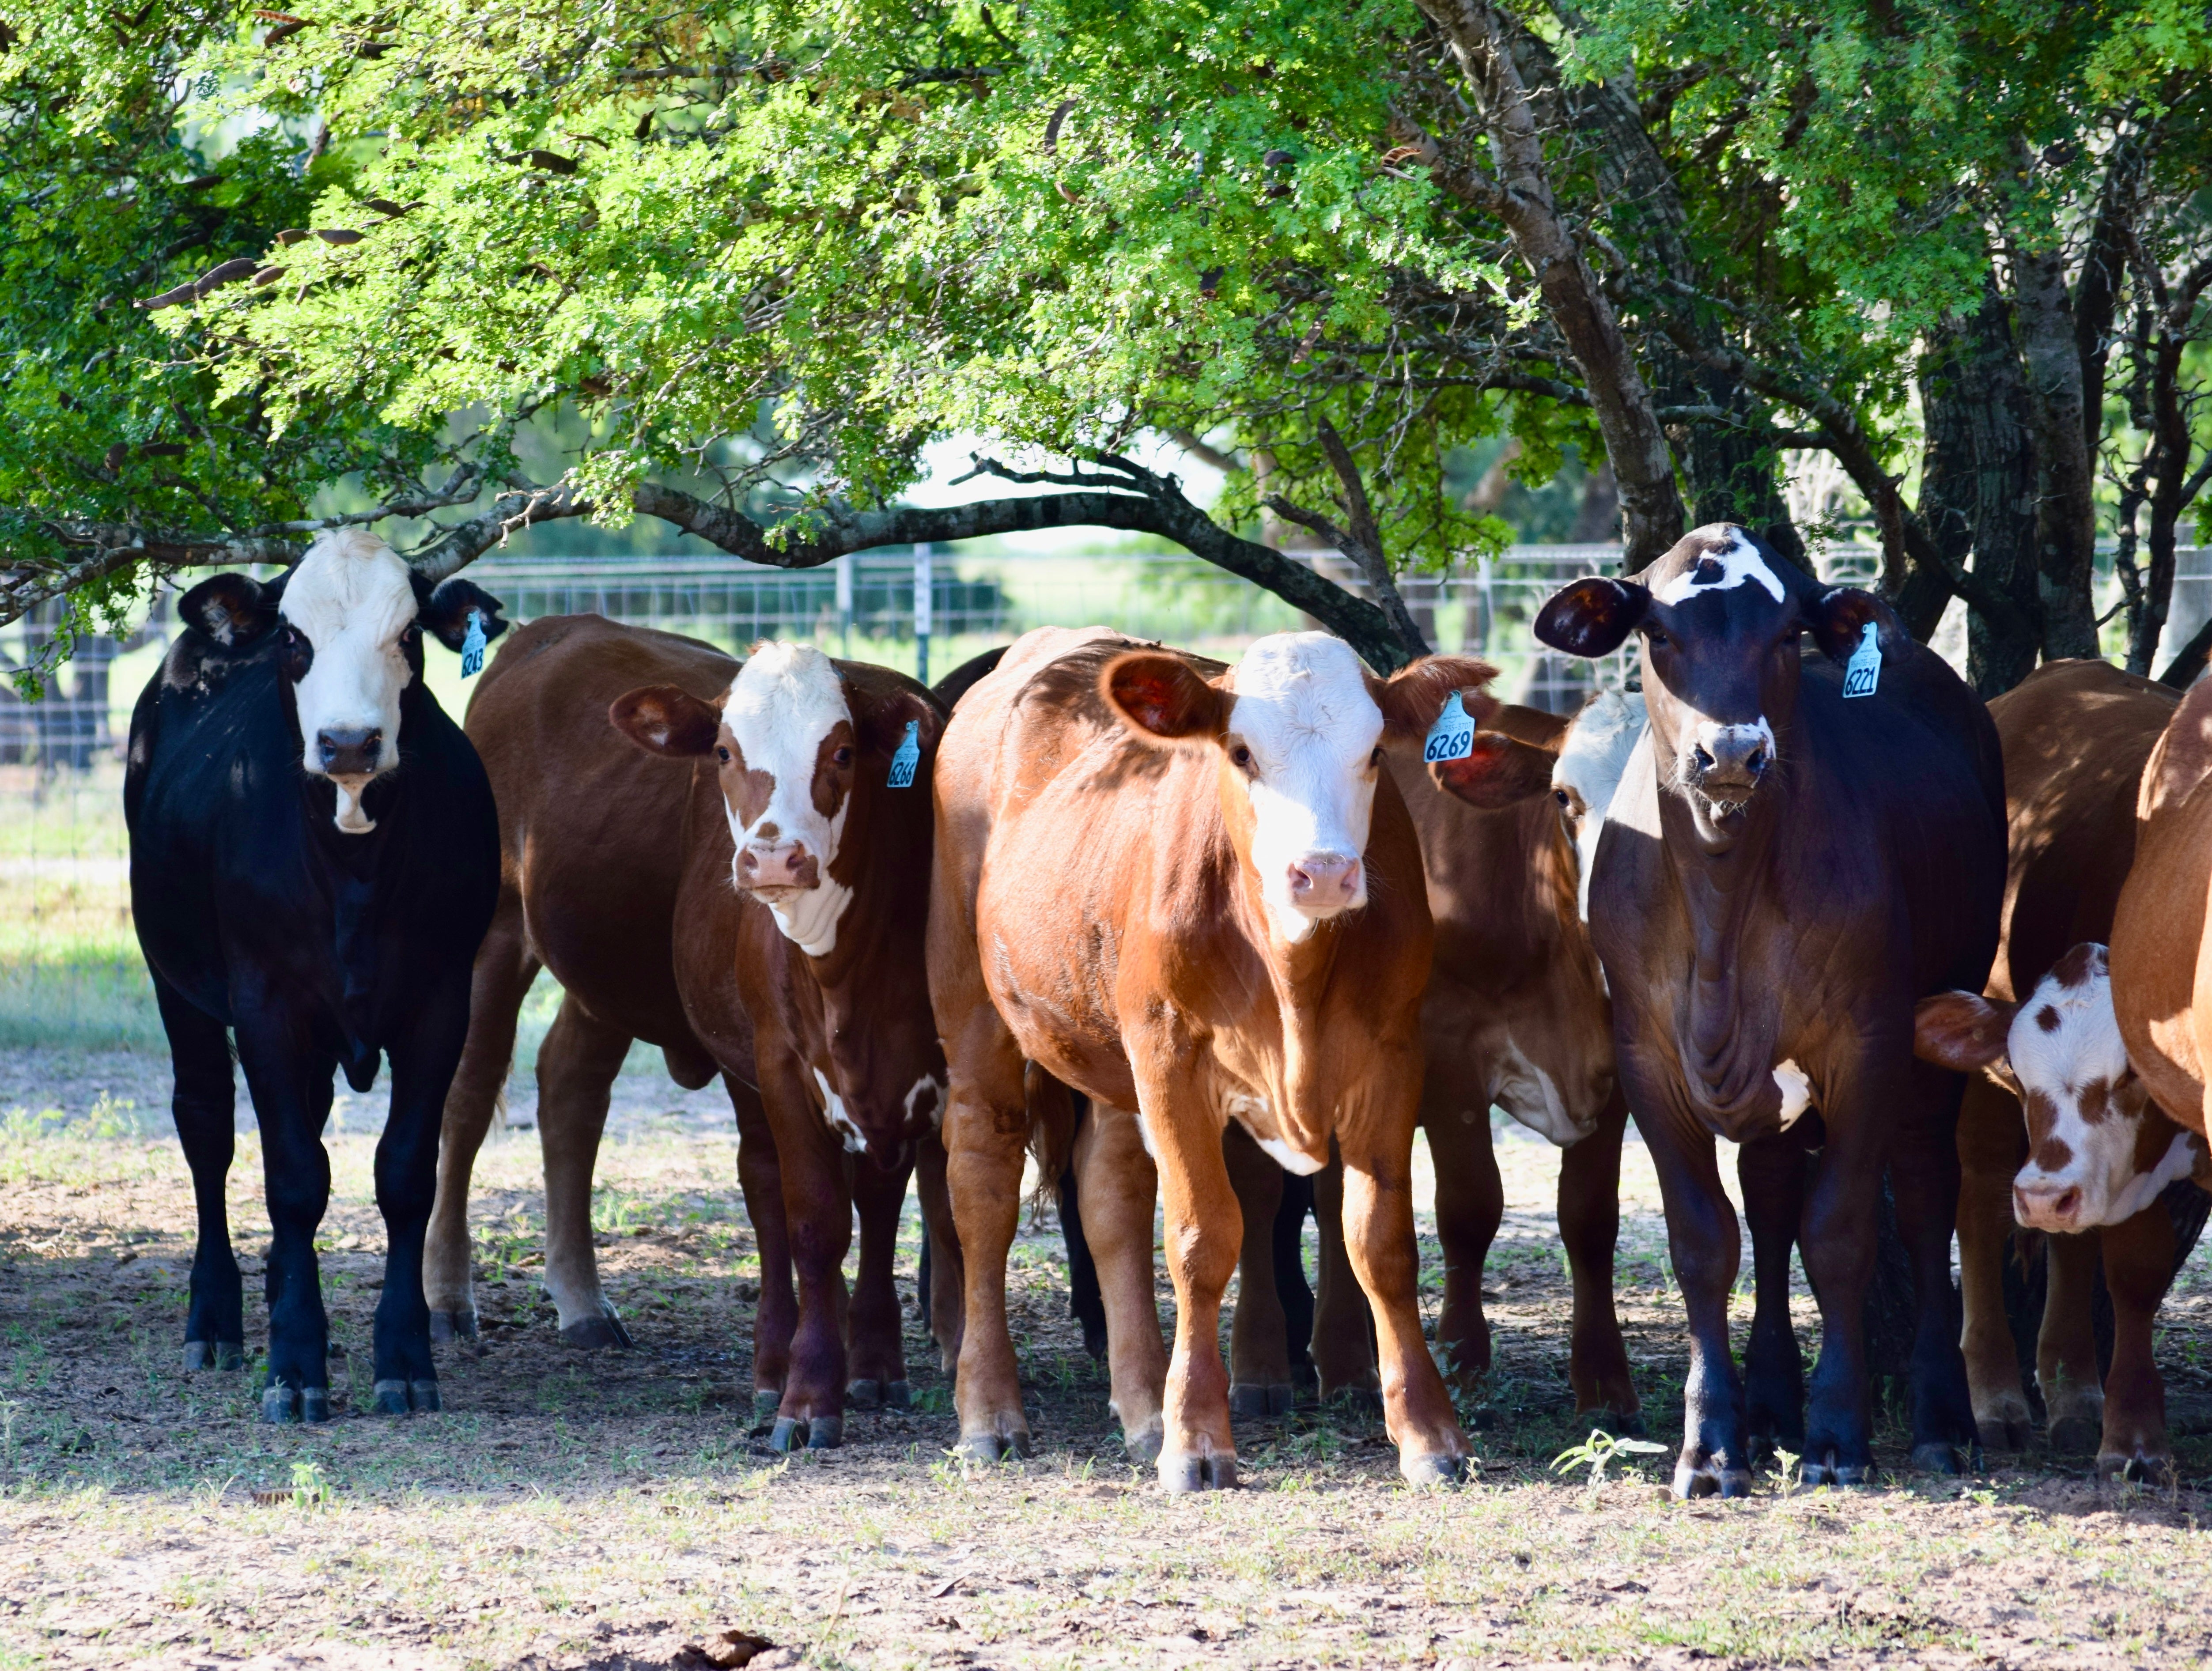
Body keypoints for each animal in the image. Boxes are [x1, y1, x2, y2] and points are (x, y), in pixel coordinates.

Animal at [129, 533, 509, 1425]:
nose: (348, 743)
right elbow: (296, 1179)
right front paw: (294, 1364)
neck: (353, 867)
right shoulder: (263, 1002)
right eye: (295, 639)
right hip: (177, 983)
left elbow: (403, 1174)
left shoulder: (442, 1001)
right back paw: (217, 1320)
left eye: (408, 636)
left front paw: (402, 1358)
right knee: (207, 1128)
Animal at [427, 620, 955, 1443]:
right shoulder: (779, 1060)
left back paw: (583, 1301)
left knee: (572, 1087)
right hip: (494, 932)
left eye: (841, 752)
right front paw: (808, 1393)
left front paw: (873, 1361)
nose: (772, 858)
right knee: (471, 1094)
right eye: (725, 753)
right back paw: (450, 1296)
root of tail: (554, 629)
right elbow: (814, 1218)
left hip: (605, 976)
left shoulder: (915, 1074)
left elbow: (881, 1203)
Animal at [933, 628, 1486, 1487]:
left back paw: (1139, 1410)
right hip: (975, 1014)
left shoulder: (1390, 1056)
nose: (1323, 871)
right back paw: (989, 1413)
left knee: (1110, 1198)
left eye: (1371, 752)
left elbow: (1379, 1238)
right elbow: (1201, 1239)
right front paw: (1195, 1440)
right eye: (1241, 751)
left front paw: (1429, 1434)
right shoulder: (1172, 1056)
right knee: (983, 1189)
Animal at [1531, 520, 2017, 1487]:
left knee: (1920, 1191)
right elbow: (1703, 1239)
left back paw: (1940, 1416)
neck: (1723, 903)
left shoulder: (1866, 1041)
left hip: (1934, 1037)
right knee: (1766, 1195)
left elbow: (1837, 1232)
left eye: (1787, 633)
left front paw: (1834, 1433)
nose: (1728, 752)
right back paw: (1764, 1407)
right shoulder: (1645, 1055)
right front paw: (1709, 1438)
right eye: (1657, 634)